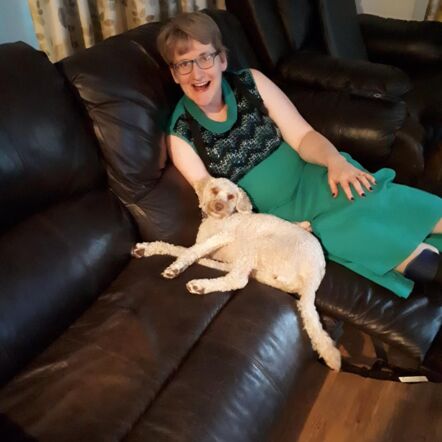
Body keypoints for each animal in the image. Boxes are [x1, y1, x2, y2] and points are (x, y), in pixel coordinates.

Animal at [133, 176, 340, 370]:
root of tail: (315, 273)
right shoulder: (208, 246)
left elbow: (190, 251)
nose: (219, 206)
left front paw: (176, 267)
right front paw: (149, 249)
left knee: (238, 280)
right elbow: (179, 248)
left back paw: (201, 285)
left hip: (257, 244)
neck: (219, 221)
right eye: (214, 190)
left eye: (231, 196)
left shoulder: (222, 236)